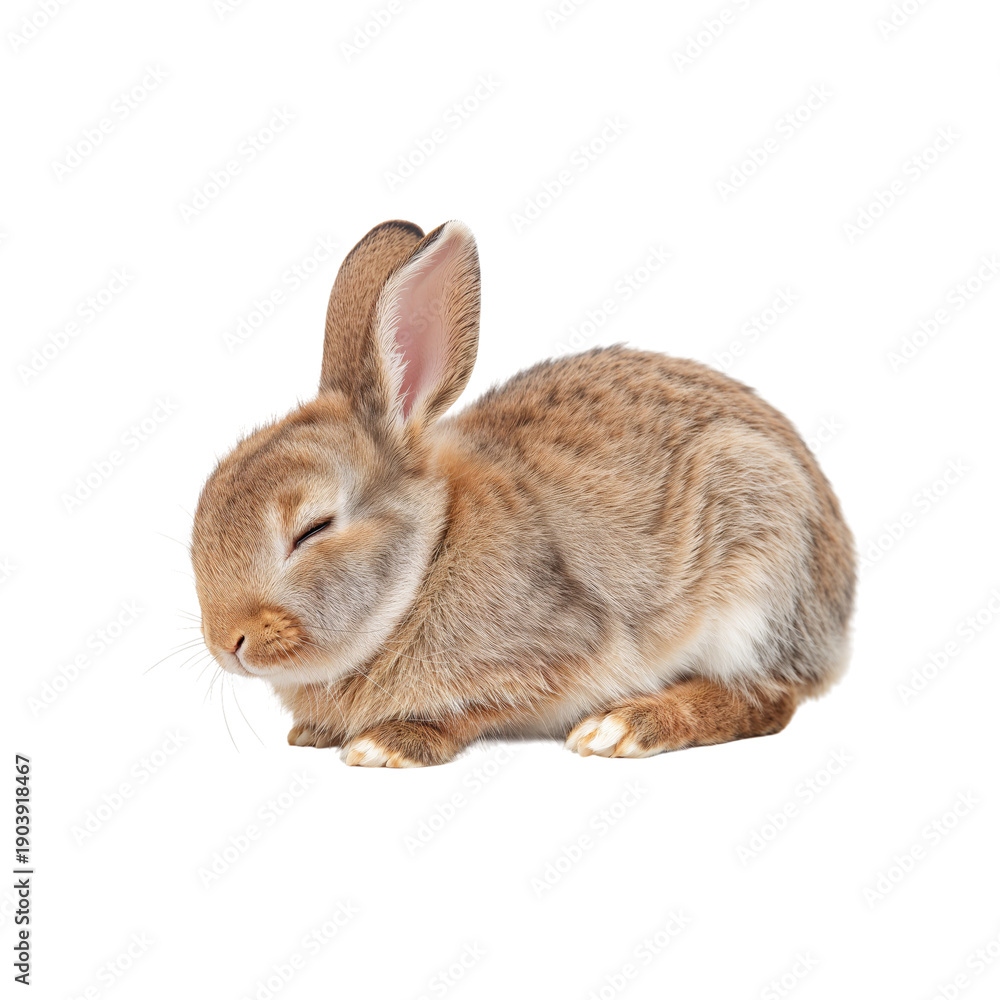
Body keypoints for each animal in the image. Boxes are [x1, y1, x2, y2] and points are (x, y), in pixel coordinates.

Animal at [191, 219, 855, 767]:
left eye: (313, 529)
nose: (228, 642)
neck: (430, 557)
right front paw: (313, 734)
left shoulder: (559, 650)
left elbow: (478, 707)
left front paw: (387, 745)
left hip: (759, 572)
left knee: (768, 698)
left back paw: (625, 727)